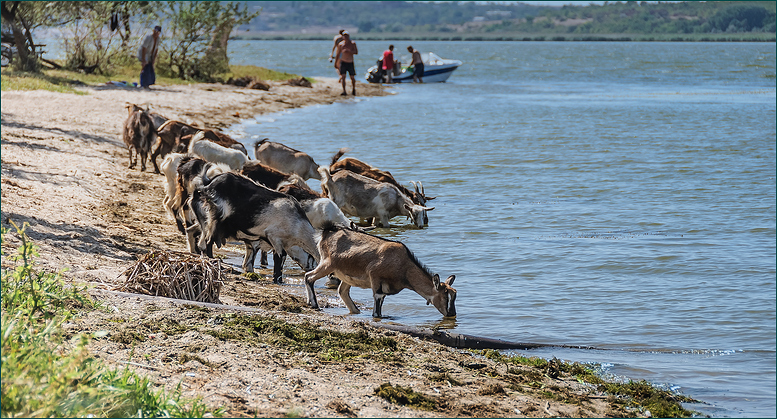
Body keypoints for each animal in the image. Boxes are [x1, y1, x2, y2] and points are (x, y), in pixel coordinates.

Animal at [302, 223, 454, 318]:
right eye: (445, 296)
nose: (452, 314)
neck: (403, 265)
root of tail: (327, 233)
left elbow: (381, 299)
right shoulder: (375, 276)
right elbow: (378, 298)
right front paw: (377, 316)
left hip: (345, 275)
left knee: (342, 291)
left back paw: (355, 310)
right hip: (327, 264)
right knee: (309, 276)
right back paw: (314, 304)